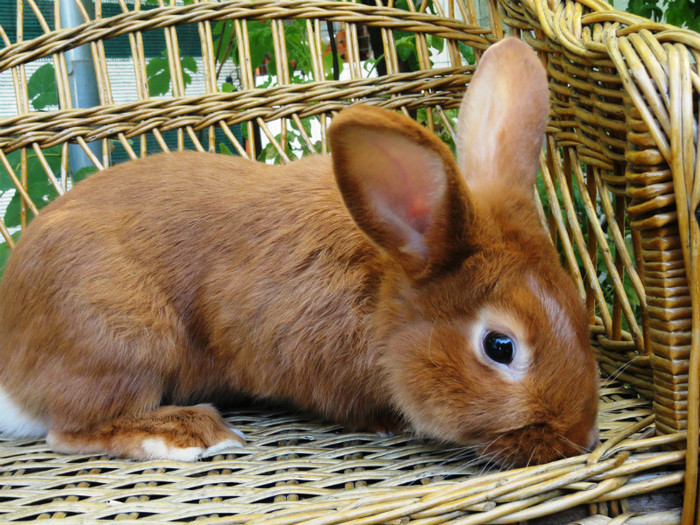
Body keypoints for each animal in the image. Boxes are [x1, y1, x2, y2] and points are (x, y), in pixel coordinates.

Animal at [0, 39, 600, 464]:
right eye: (500, 346)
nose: (579, 437)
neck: (382, 287)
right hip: (124, 339)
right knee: (69, 429)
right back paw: (189, 433)